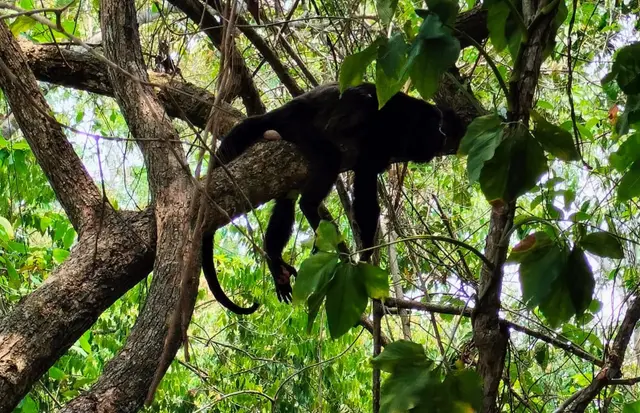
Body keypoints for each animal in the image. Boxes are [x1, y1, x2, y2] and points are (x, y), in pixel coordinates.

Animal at [204, 81, 464, 312]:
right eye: (436, 126)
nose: (443, 134)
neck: (406, 121)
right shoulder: (379, 137)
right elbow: (365, 190)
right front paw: (366, 252)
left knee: (287, 200)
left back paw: (275, 261)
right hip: (297, 127)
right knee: (328, 159)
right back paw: (312, 211)